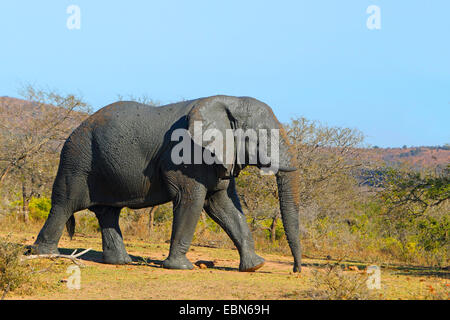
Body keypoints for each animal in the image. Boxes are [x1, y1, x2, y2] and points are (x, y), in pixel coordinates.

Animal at [33, 95, 302, 272]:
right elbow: (191, 200)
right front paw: (180, 267)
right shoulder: (185, 154)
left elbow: (222, 205)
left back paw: (121, 262)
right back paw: (45, 255)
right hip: (77, 161)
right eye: (263, 136)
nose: (295, 271)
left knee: (108, 212)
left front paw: (255, 267)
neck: (228, 101)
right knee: (64, 205)